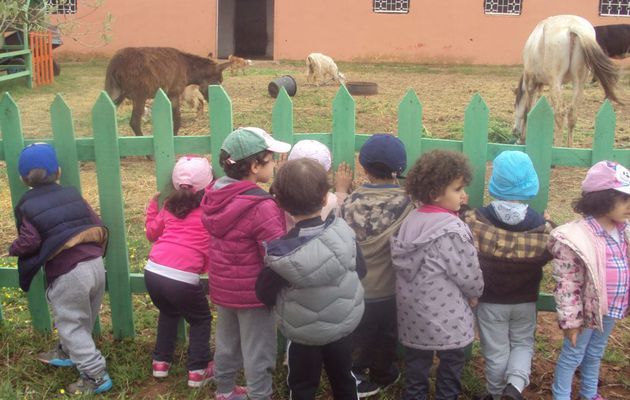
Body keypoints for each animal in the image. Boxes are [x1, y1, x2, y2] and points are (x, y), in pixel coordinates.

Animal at [105, 47, 233, 136]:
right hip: (139, 95)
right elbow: (177, 118)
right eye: (219, 81)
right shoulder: (174, 93)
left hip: (115, 94)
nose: (216, 102)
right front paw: (174, 137)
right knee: (134, 122)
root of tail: (116, 63)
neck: (187, 68)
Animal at [516, 16, 624, 147]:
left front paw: (523, 139)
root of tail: (573, 27)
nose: (514, 131)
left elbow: (527, 111)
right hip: (578, 82)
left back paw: (557, 147)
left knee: (560, 113)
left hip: (555, 81)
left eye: (516, 104)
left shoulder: (530, 82)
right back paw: (569, 147)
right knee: (572, 114)